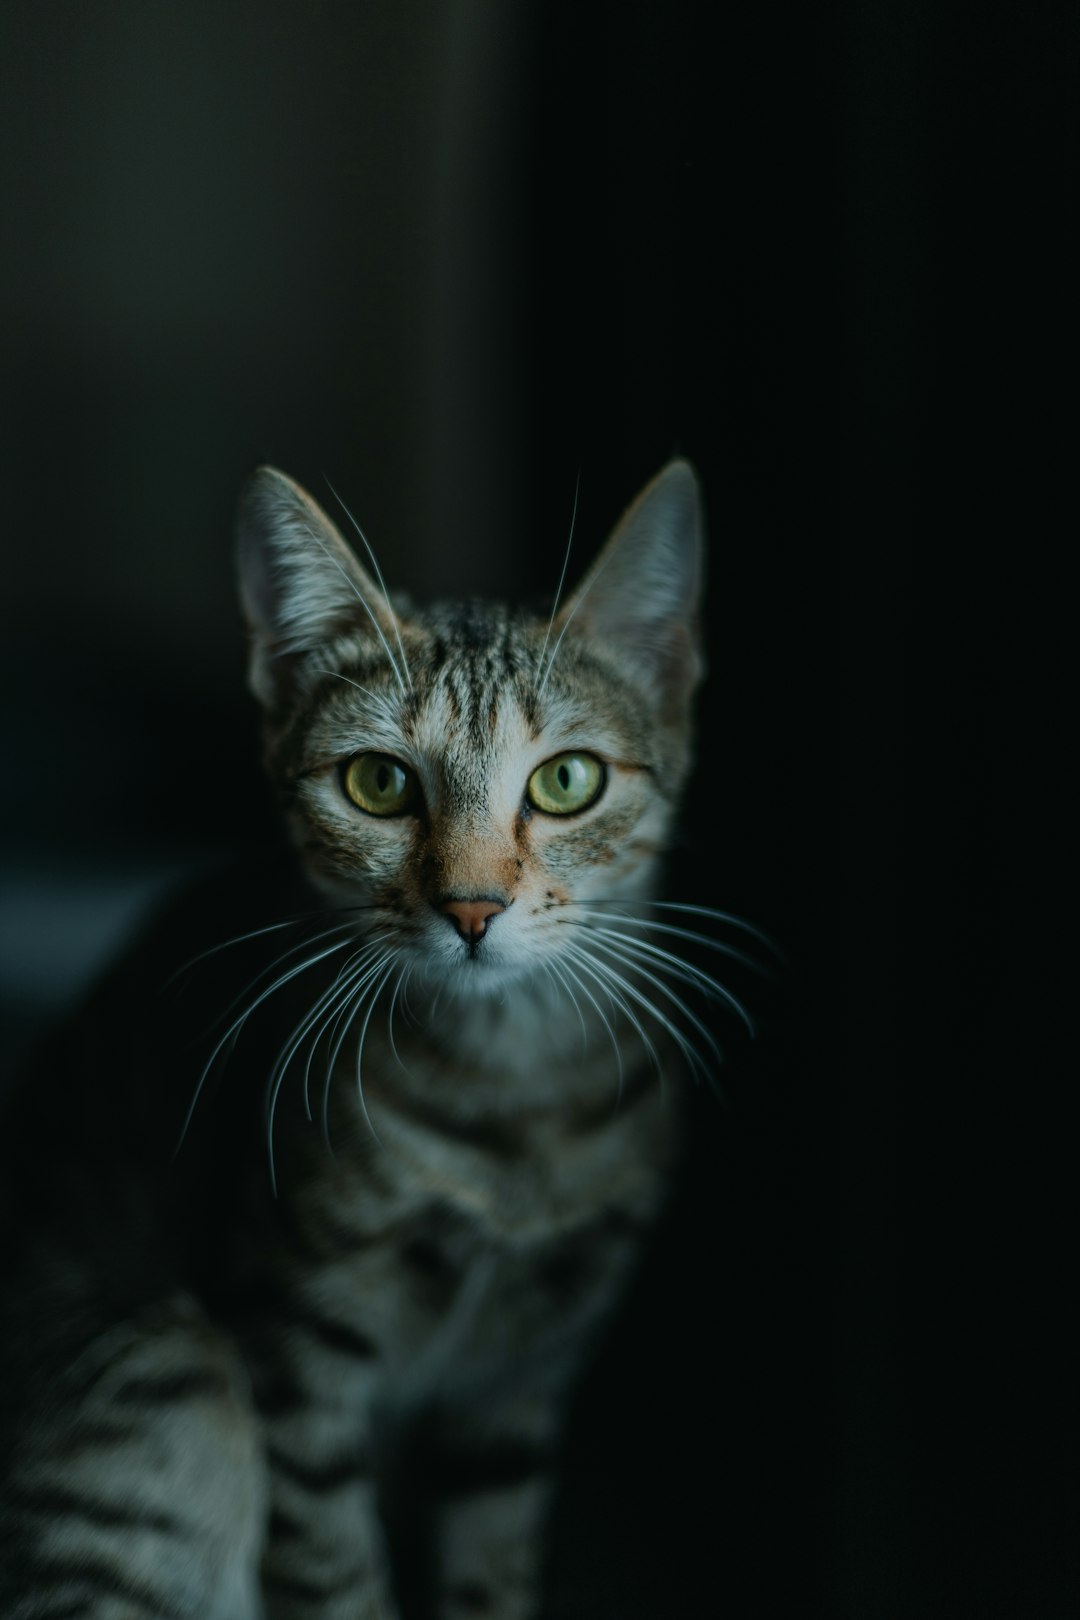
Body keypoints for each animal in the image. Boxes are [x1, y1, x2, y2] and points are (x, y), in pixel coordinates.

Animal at [0, 460, 751, 1620]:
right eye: (379, 783)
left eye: (567, 779)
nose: (474, 908)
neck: (510, 1100)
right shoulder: (294, 1343)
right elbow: (335, 1568)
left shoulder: (526, 1371)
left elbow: (491, 1566)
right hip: (172, 1383)